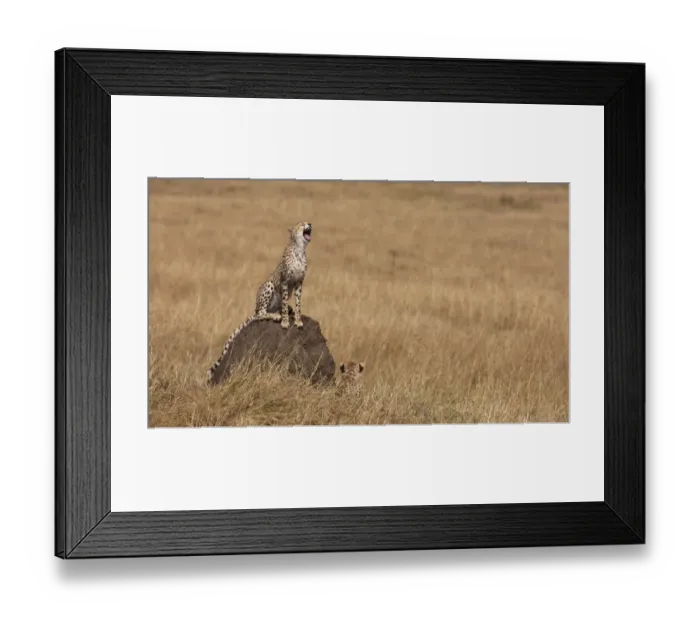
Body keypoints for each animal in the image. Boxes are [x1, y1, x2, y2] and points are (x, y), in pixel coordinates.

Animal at [206, 222, 312, 384]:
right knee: (260, 313)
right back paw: (276, 316)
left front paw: (298, 320)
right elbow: (284, 303)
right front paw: (285, 322)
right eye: (301, 224)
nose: (310, 224)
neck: (299, 250)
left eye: (306, 222)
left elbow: (298, 304)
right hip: (268, 286)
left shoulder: (299, 283)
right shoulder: (284, 281)